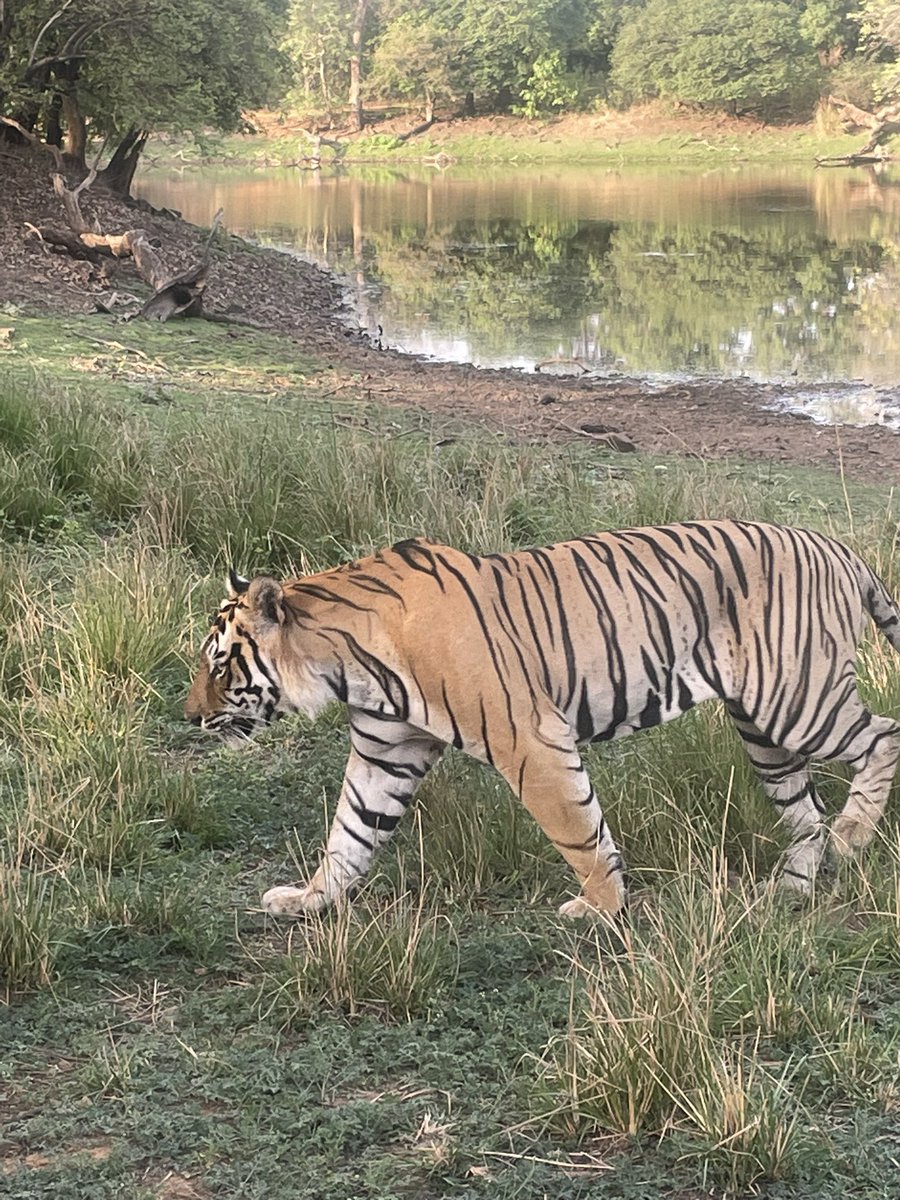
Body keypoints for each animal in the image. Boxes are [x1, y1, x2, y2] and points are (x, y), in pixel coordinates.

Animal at [185, 520, 900, 919]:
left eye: (219, 665)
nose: (190, 716)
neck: (348, 663)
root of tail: (842, 548)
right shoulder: (387, 751)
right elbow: (350, 834)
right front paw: (311, 900)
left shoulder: (531, 739)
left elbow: (578, 830)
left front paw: (601, 908)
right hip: (764, 731)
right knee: (805, 812)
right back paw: (794, 888)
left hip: (799, 700)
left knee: (885, 735)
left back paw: (854, 835)